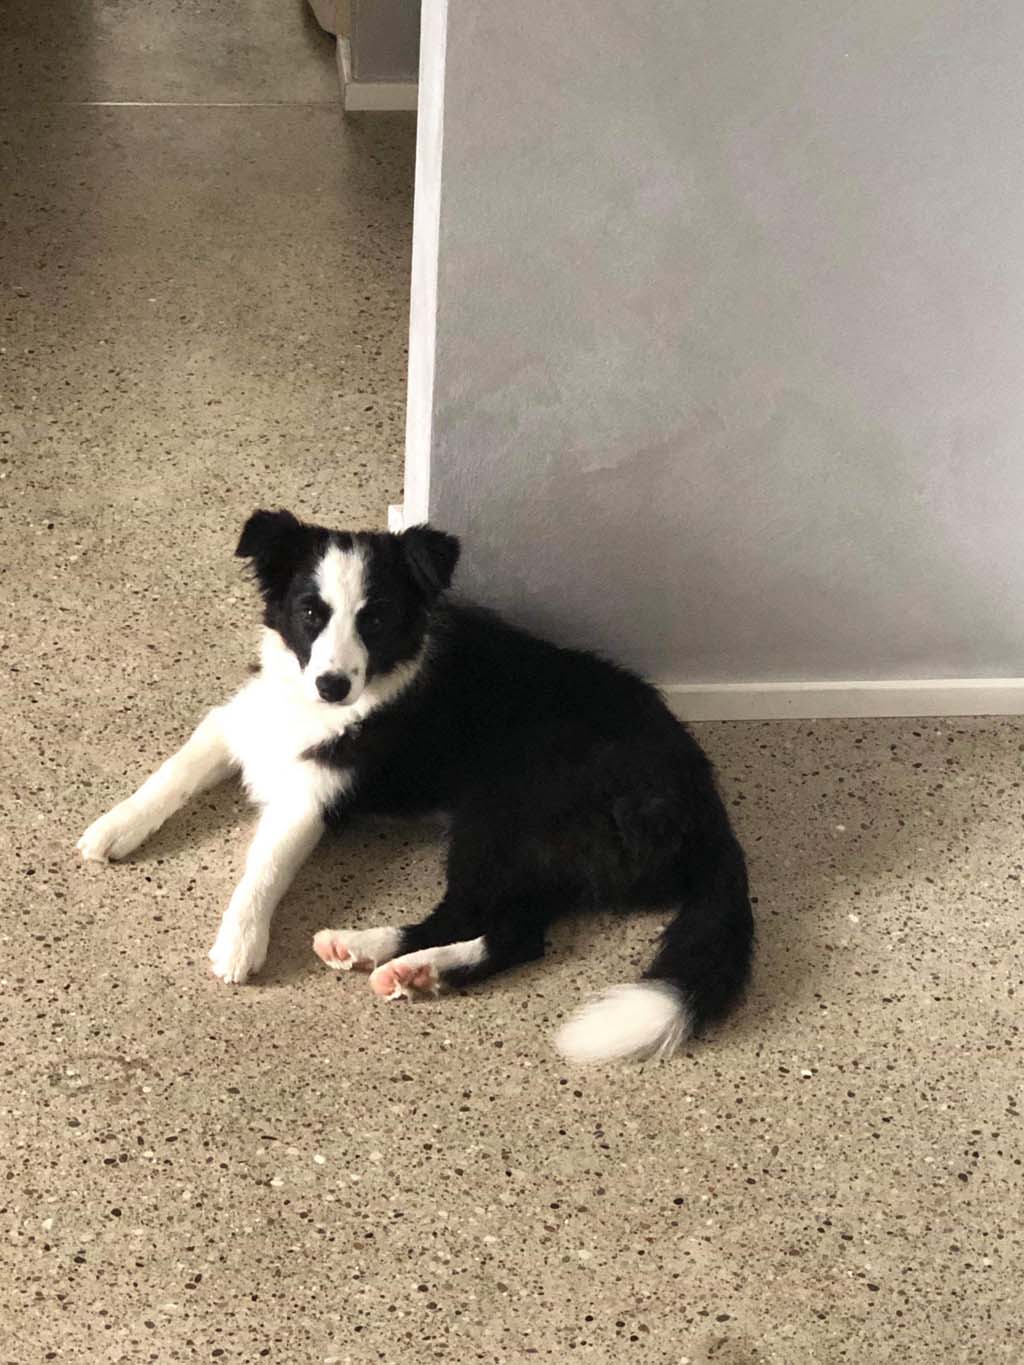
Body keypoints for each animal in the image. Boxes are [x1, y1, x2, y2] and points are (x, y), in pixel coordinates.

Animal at [77, 509, 754, 1062]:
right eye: (310, 613)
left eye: (374, 619)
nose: (333, 686)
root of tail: (706, 807)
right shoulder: (241, 722)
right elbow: (172, 772)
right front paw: (112, 829)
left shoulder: (313, 798)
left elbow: (263, 867)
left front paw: (240, 943)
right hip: (546, 852)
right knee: (516, 936)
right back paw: (417, 971)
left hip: (504, 815)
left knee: (471, 916)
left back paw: (374, 951)